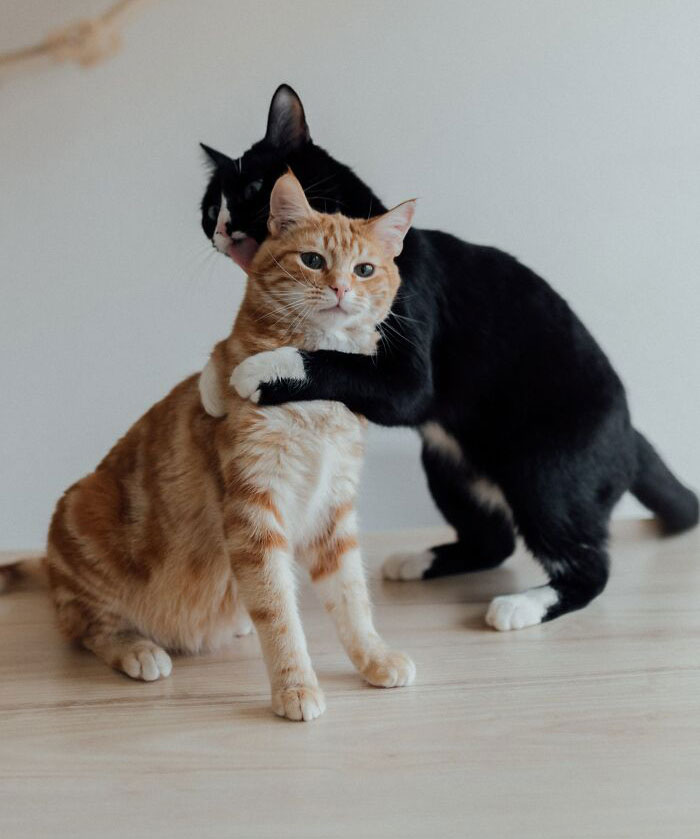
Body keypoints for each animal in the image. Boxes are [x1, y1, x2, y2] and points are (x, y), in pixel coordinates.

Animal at [45, 171, 416, 721]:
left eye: (365, 269)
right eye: (313, 260)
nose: (341, 287)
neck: (315, 390)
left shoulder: (333, 509)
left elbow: (351, 596)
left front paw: (373, 656)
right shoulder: (254, 509)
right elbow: (278, 610)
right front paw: (295, 685)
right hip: (84, 508)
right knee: (88, 626)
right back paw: (138, 649)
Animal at [198, 84, 698, 632]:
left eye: (252, 187)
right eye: (208, 208)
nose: (220, 228)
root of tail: (631, 434)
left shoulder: (409, 369)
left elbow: (332, 359)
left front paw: (257, 369)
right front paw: (213, 381)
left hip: (545, 470)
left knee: (588, 564)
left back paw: (522, 605)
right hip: (446, 465)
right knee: (494, 540)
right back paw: (420, 560)